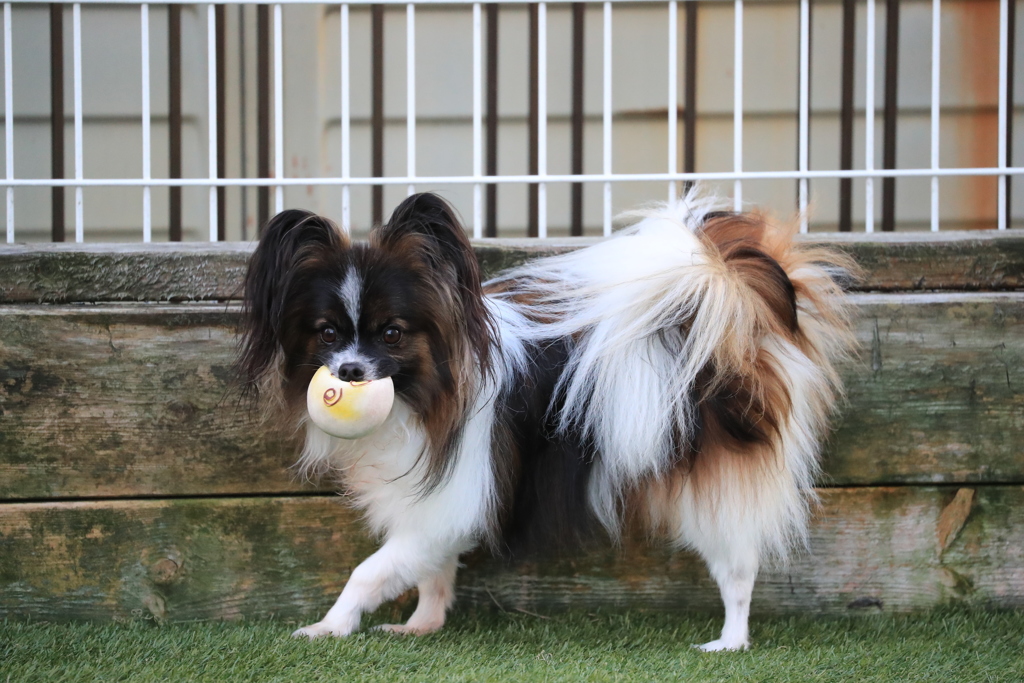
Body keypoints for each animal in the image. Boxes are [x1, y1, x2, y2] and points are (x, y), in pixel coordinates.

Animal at [235, 189, 851, 651]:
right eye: (327, 334)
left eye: (392, 333)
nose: (350, 371)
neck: (425, 393)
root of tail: (726, 308)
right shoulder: (437, 508)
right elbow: (434, 571)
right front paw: (421, 626)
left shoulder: (447, 499)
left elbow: (369, 571)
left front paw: (329, 626)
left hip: (714, 492)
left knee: (738, 571)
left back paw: (730, 642)